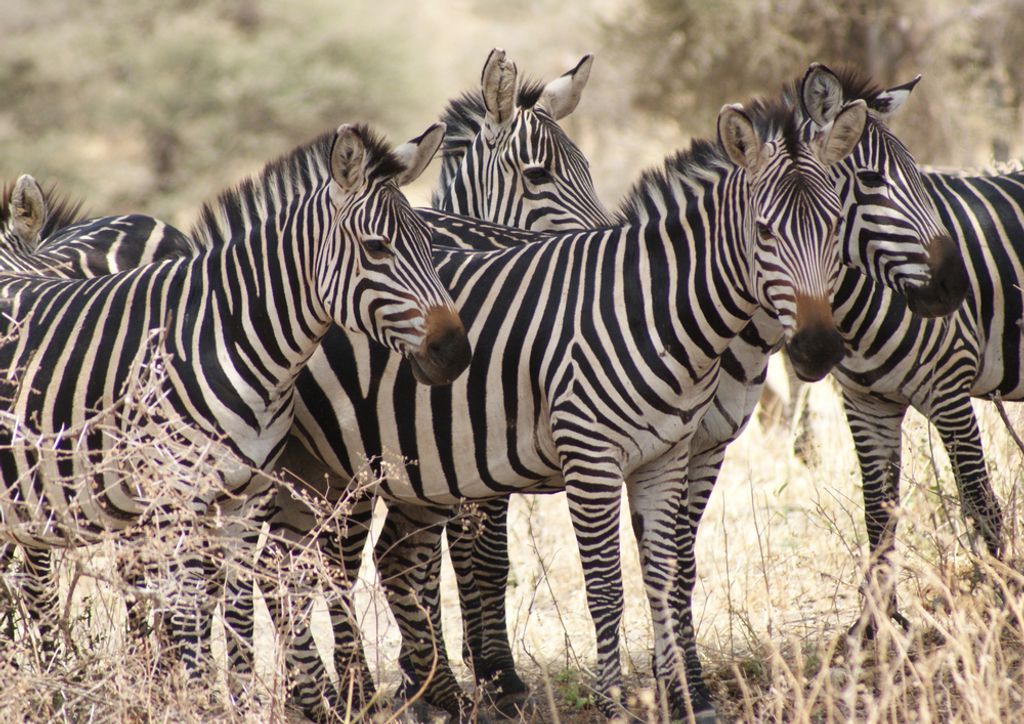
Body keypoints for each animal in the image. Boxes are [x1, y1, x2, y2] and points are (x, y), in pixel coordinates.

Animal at [0, 122, 470, 719]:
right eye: (376, 248)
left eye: (430, 246)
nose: (456, 352)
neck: (233, 340)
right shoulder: (176, 505)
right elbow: (190, 616)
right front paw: (199, 700)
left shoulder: (246, 502)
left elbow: (240, 615)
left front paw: (240, 703)